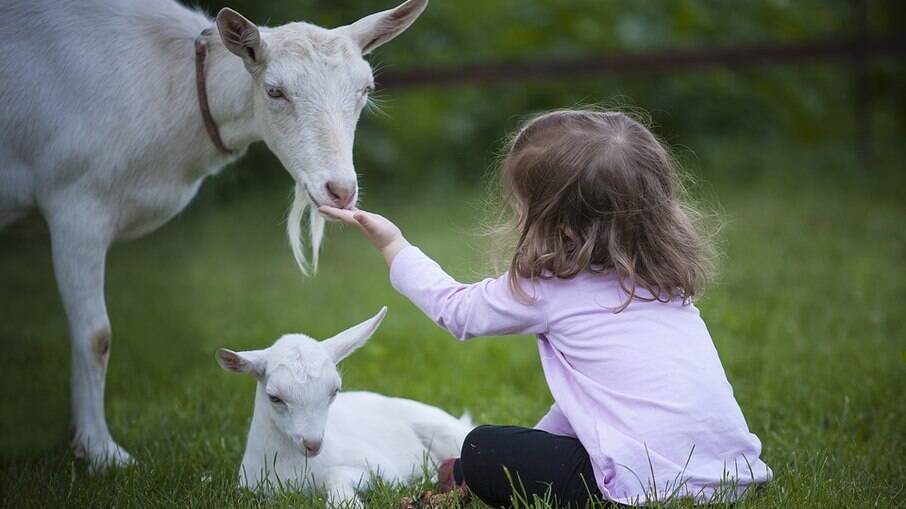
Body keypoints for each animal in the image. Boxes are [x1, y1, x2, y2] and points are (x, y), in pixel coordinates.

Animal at [0, 0, 428, 468]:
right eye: (274, 91)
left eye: (365, 89)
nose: (341, 190)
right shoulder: (76, 201)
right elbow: (96, 336)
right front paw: (101, 452)